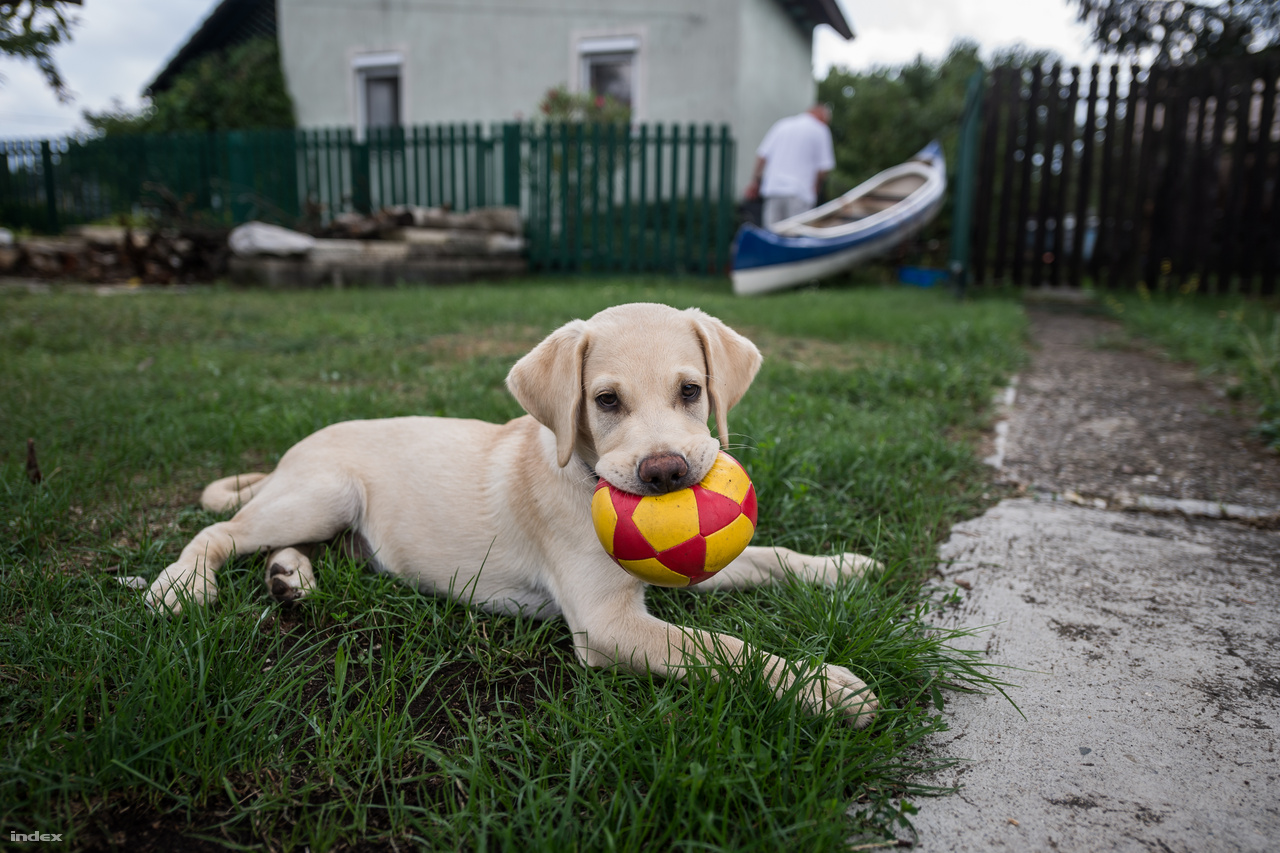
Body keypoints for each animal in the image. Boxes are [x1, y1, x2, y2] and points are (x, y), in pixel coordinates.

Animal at [145, 302, 875, 722]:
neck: (582, 474)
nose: (666, 472)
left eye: (692, 391)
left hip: (328, 516)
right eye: (606, 401)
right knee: (219, 531)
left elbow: (769, 557)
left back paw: (290, 578)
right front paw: (829, 689)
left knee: (291, 546)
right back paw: (180, 587)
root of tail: (289, 456)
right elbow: (723, 649)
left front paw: (841, 567)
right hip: (323, 492)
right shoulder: (606, 622)